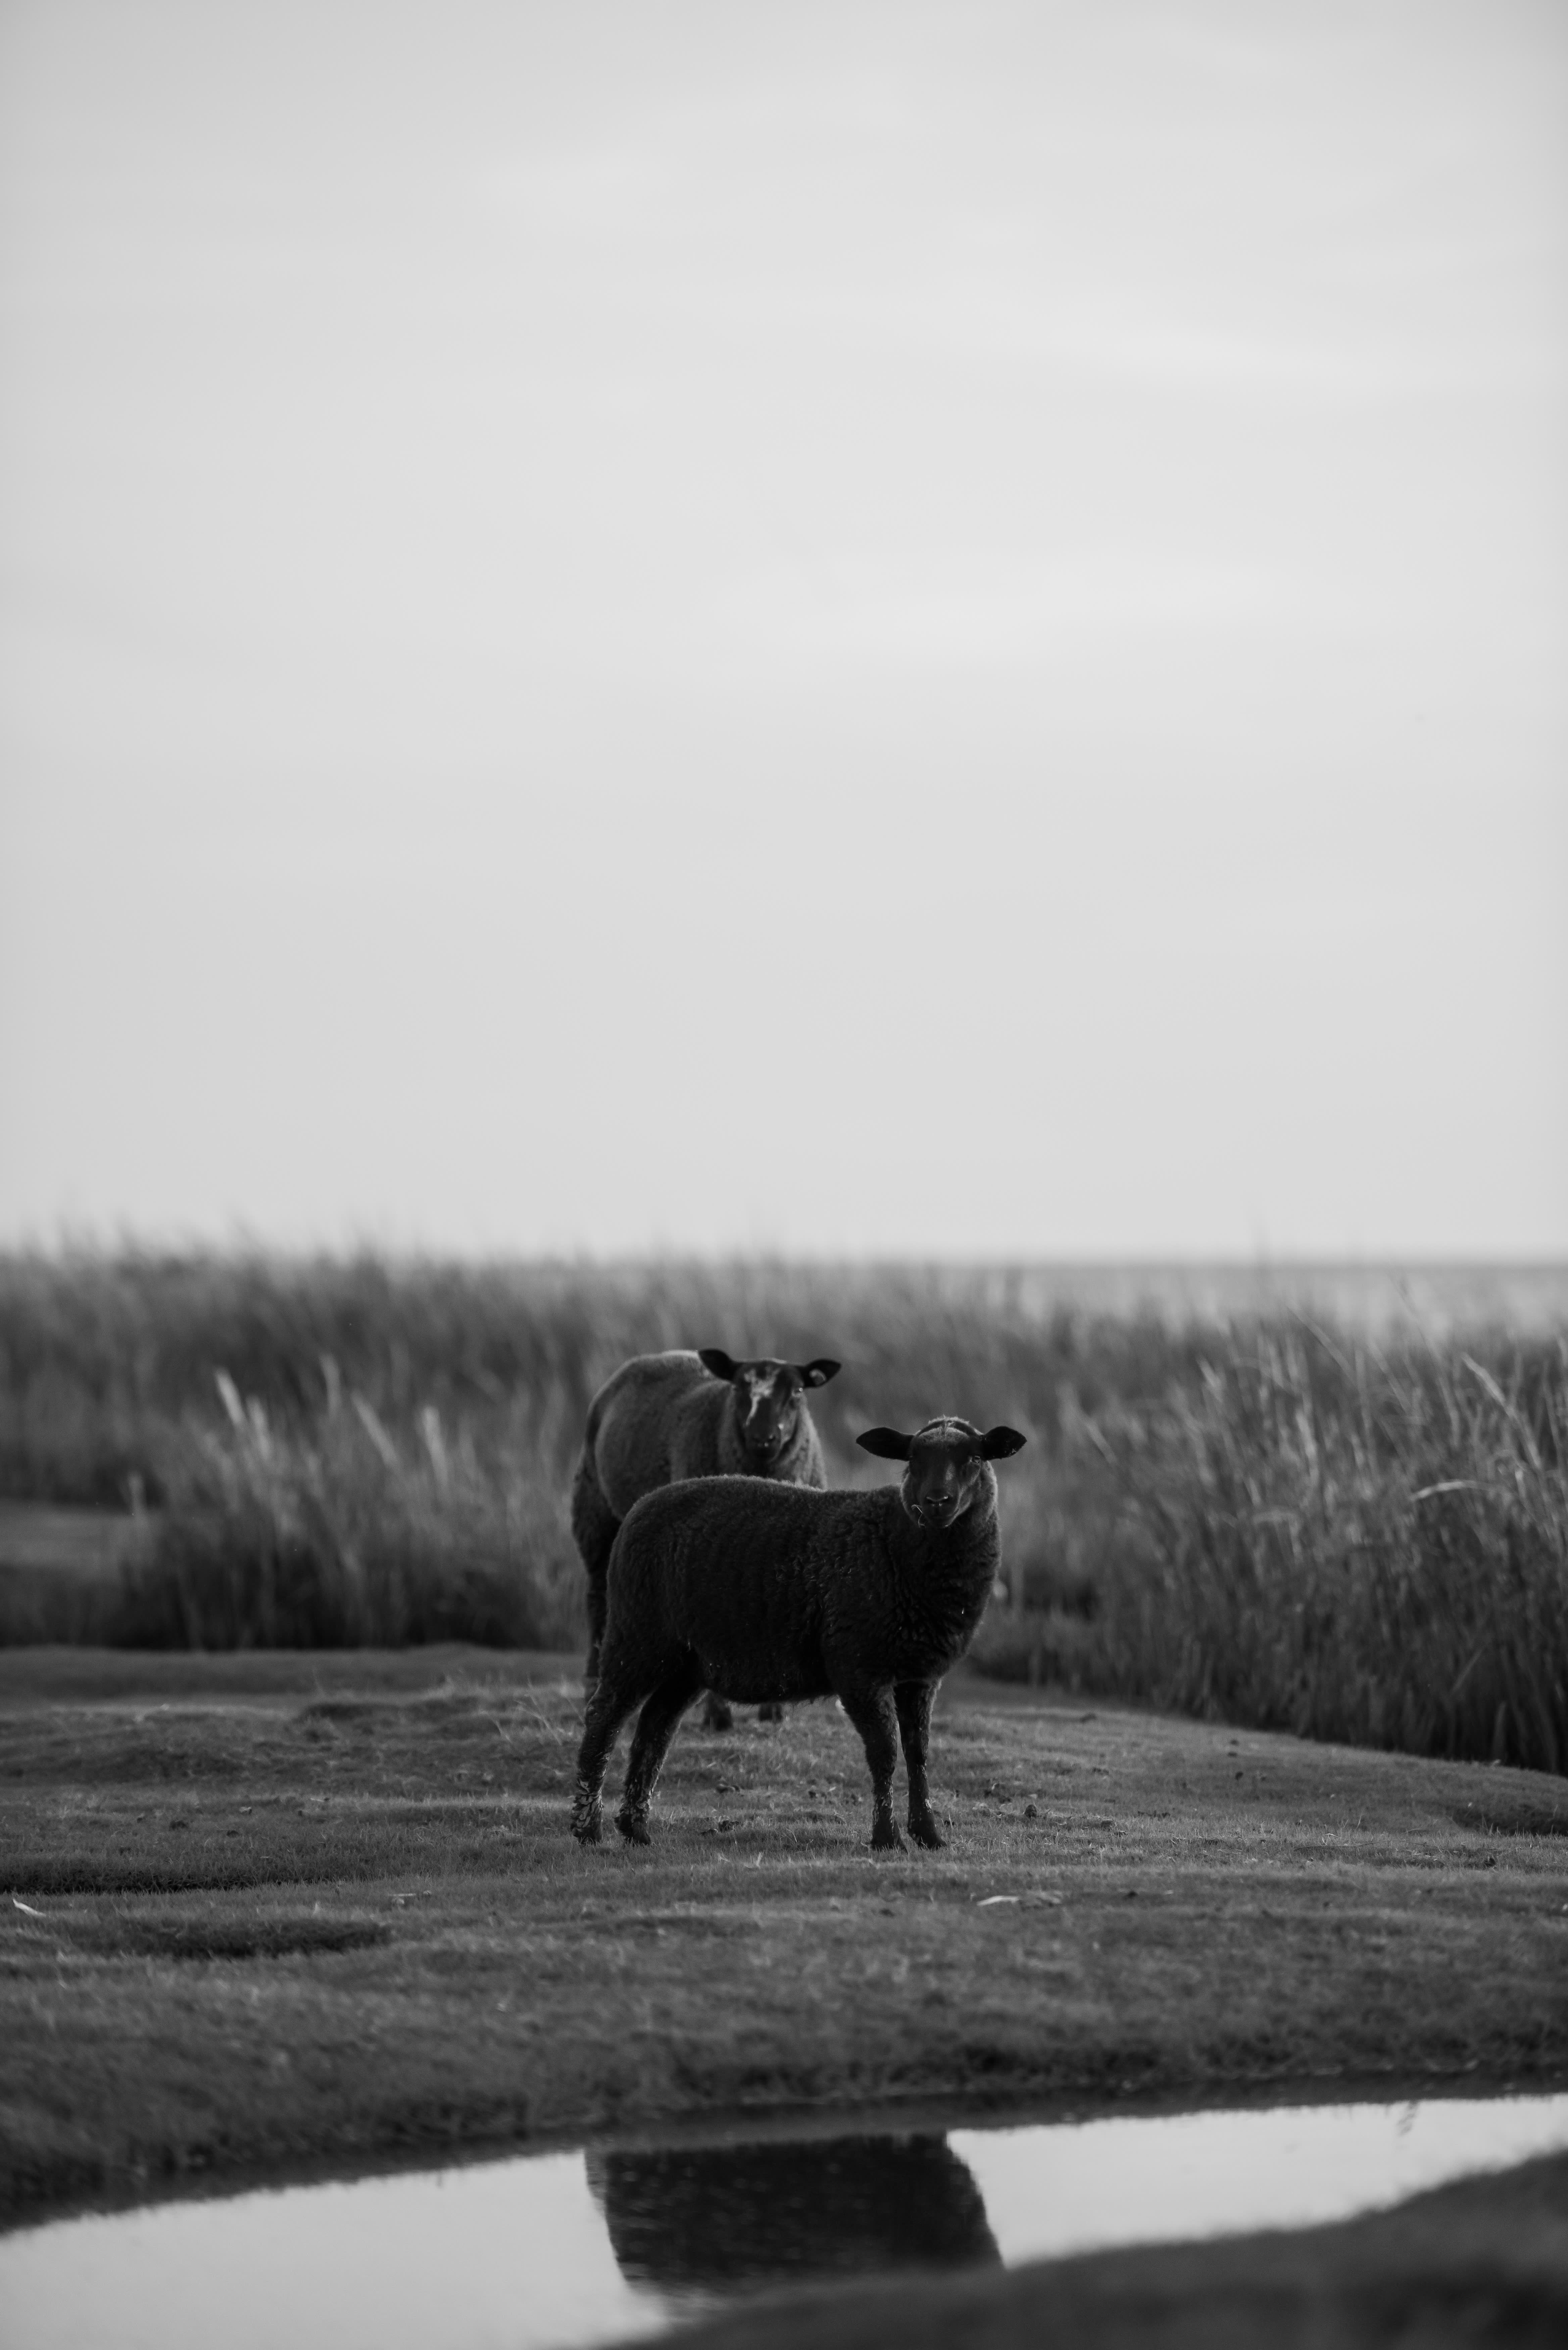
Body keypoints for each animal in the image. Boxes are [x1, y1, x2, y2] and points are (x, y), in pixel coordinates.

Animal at [569, 1346, 841, 1728]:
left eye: (798, 1391)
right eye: (738, 1389)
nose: (764, 1438)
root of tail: (654, 1356)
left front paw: (774, 1711)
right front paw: (717, 1715)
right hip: (596, 1510)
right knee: (597, 1599)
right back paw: (593, 1686)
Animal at [571, 1414, 1027, 1854]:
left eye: (974, 1458)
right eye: (912, 1459)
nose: (936, 1502)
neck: (901, 1547)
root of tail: (638, 1509)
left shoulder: (920, 1675)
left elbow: (919, 1754)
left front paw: (929, 1836)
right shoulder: (859, 1666)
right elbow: (885, 1753)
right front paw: (887, 1838)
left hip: (685, 1662)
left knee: (654, 1729)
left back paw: (636, 1829)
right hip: (637, 1635)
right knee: (604, 1719)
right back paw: (587, 1828)